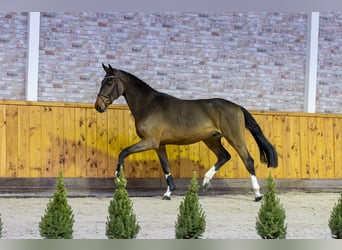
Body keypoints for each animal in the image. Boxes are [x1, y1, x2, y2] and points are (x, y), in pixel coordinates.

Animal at [94, 64, 278, 201]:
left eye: (109, 82)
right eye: (102, 81)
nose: (98, 106)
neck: (149, 105)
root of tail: (237, 106)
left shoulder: (150, 141)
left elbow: (123, 152)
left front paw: (118, 178)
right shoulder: (159, 145)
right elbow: (165, 166)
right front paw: (168, 193)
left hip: (235, 138)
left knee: (248, 160)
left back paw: (258, 194)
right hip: (212, 139)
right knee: (224, 156)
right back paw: (206, 182)